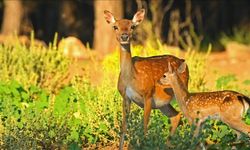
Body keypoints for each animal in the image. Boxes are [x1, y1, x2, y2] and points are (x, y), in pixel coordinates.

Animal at [102, 9, 188, 149]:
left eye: (132, 26)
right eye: (115, 27)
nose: (124, 36)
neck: (132, 78)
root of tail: (184, 62)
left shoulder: (147, 95)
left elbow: (144, 126)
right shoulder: (125, 97)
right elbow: (124, 127)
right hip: (163, 103)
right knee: (176, 115)